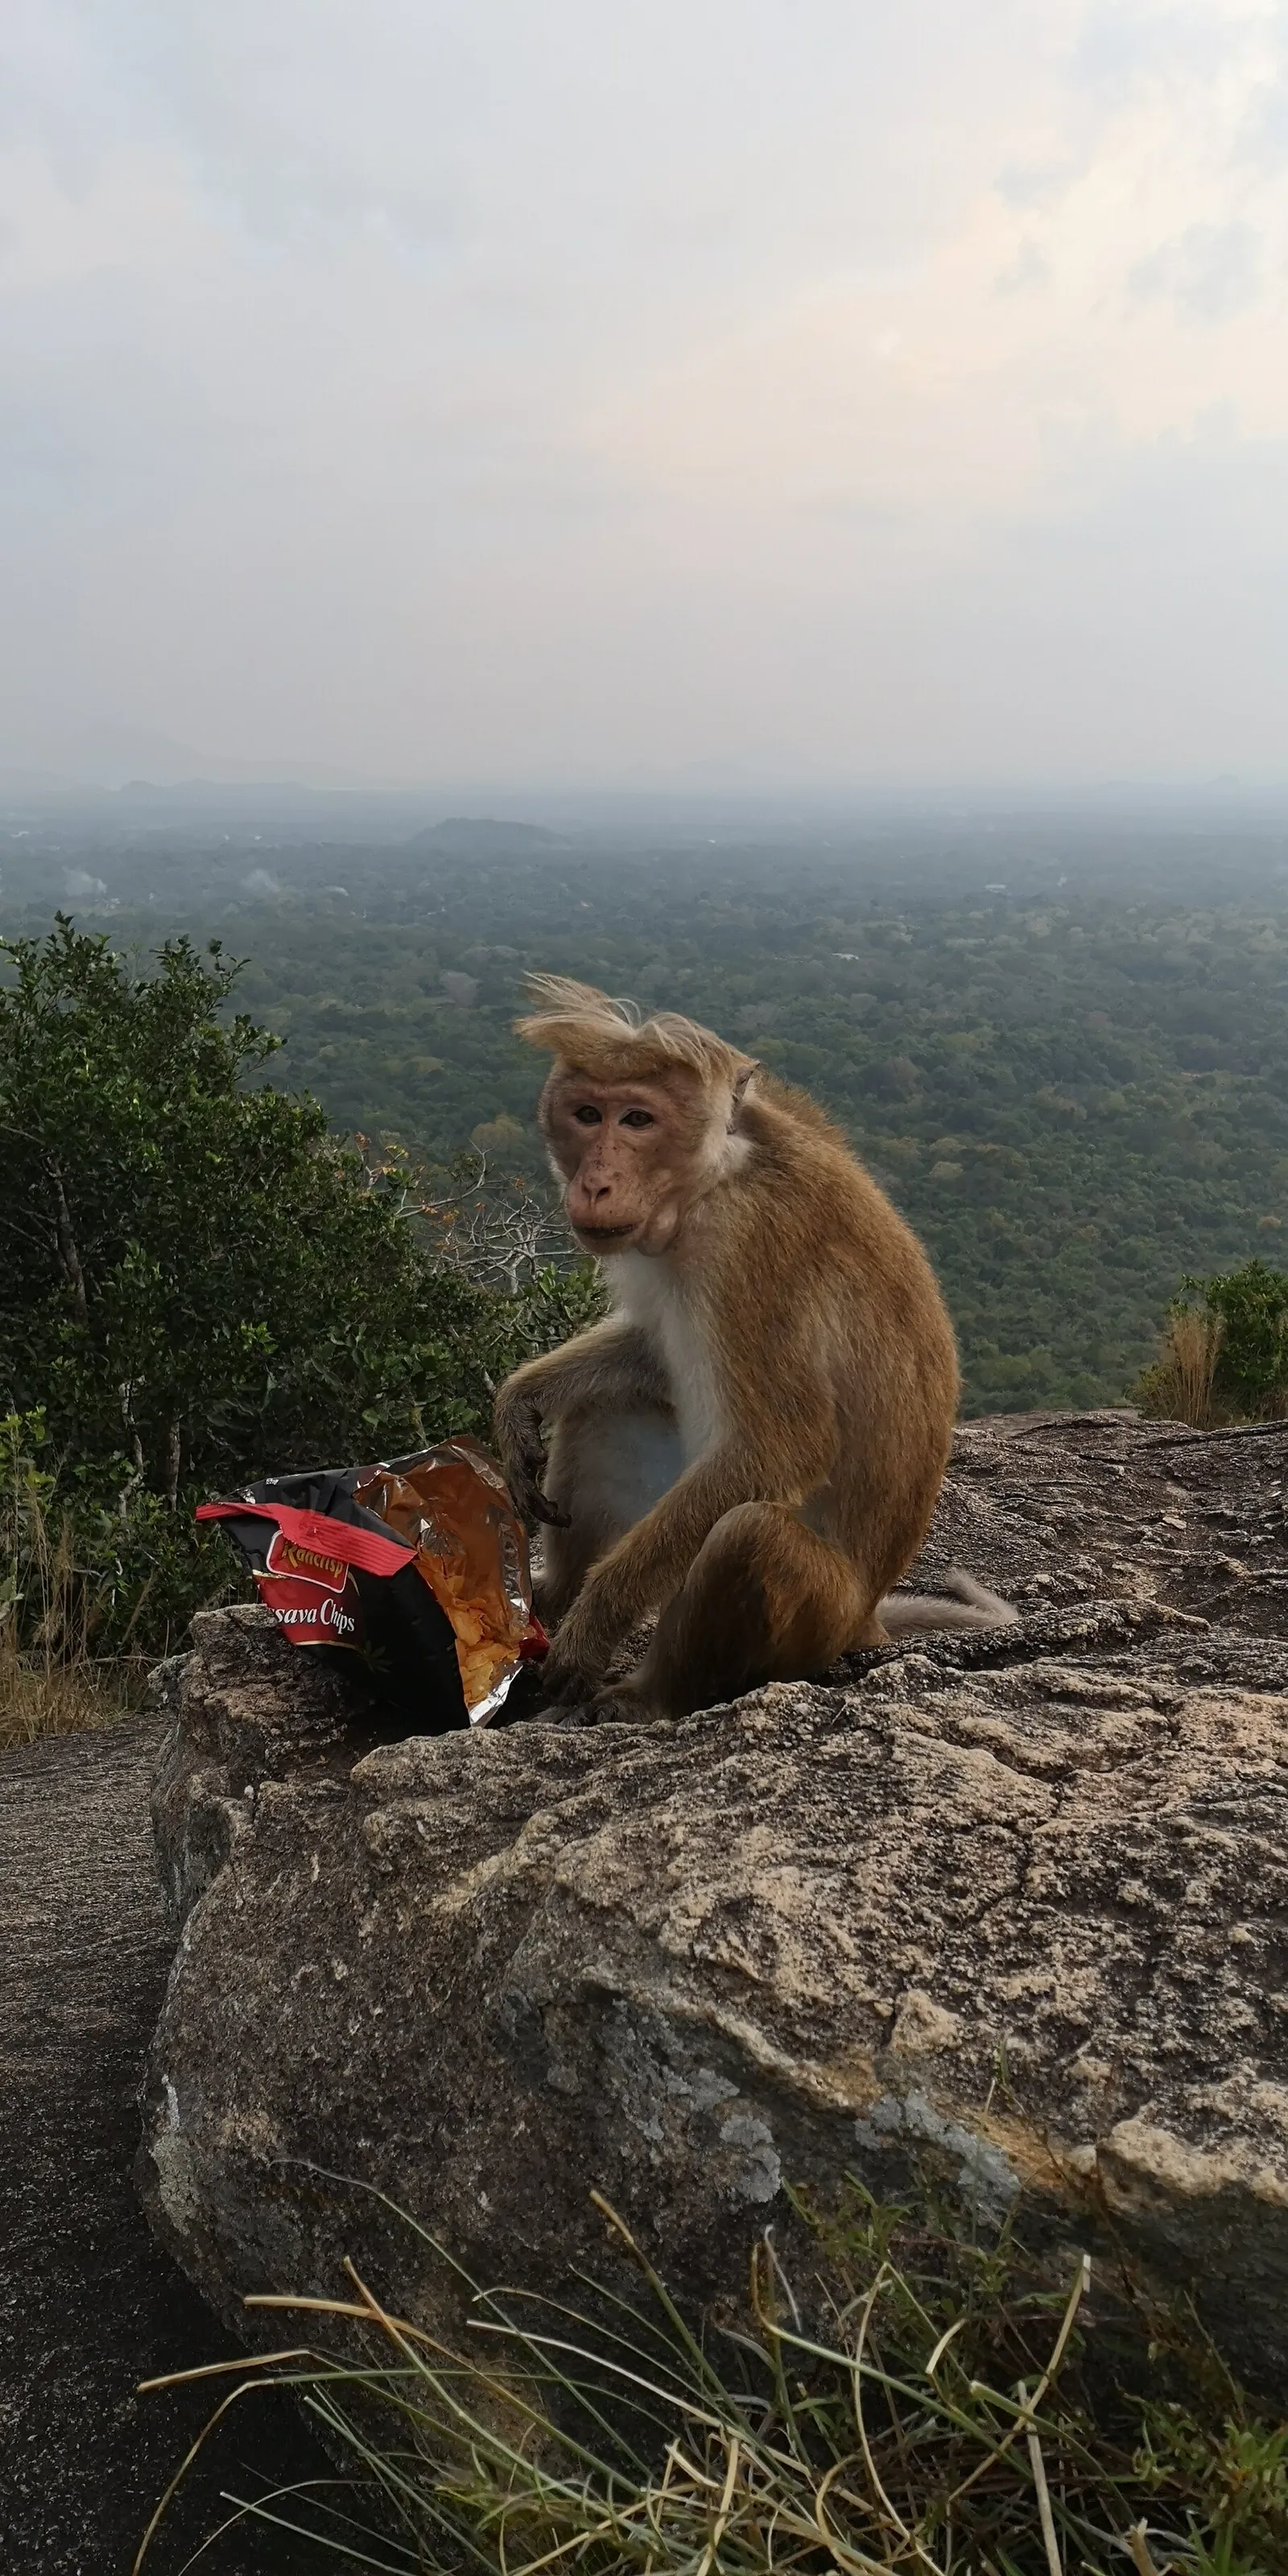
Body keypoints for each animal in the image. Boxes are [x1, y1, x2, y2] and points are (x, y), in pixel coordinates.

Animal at [493, 977, 1015, 1721]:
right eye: (587, 1114)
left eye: (638, 1121)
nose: (594, 1183)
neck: (712, 1179)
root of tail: (866, 1619)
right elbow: (652, 1354)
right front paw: (520, 1401)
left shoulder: (748, 1248)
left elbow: (781, 1447)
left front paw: (596, 1625)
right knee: (607, 1408)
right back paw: (555, 1592)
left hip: (817, 1621)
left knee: (750, 1535)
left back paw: (650, 1694)